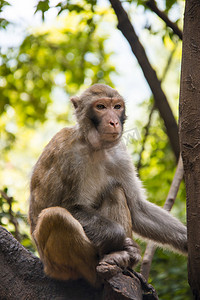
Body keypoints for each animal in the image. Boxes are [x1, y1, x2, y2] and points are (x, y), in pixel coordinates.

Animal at [28, 84, 188, 286]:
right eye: (101, 107)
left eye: (117, 107)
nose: (113, 122)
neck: (95, 147)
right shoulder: (67, 152)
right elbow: (61, 206)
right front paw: (119, 238)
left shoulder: (120, 154)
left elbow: (137, 208)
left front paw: (188, 240)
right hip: (55, 265)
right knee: (55, 216)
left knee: (115, 190)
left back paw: (123, 260)